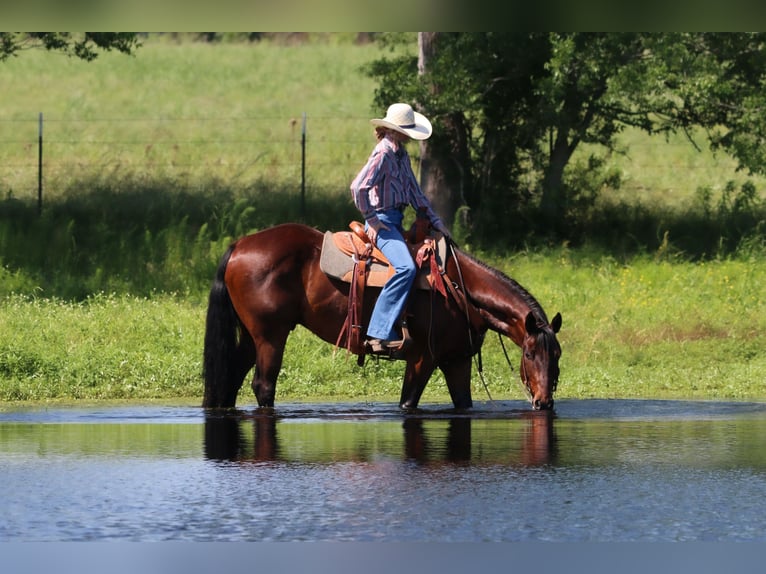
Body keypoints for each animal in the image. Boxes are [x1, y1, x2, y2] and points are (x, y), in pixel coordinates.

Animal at [202, 223, 564, 412]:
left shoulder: (456, 361)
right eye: (529, 353)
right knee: (263, 385)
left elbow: (463, 403)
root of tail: (240, 245)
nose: (544, 402)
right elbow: (408, 402)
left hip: (252, 338)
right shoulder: (422, 358)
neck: (459, 288)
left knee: (229, 379)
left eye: (557, 355)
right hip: (271, 337)